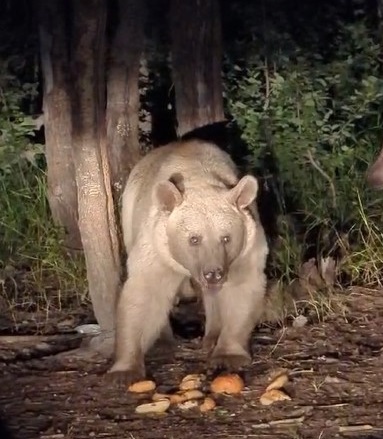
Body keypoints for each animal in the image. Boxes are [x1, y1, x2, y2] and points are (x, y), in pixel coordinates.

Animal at [108, 139, 270, 384]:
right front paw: (125, 368)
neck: (197, 177)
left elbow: (241, 290)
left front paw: (228, 354)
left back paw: (211, 335)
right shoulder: (156, 247)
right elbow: (144, 294)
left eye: (226, 237)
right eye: (194, 238)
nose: (213, 273)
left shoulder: (246, 248)